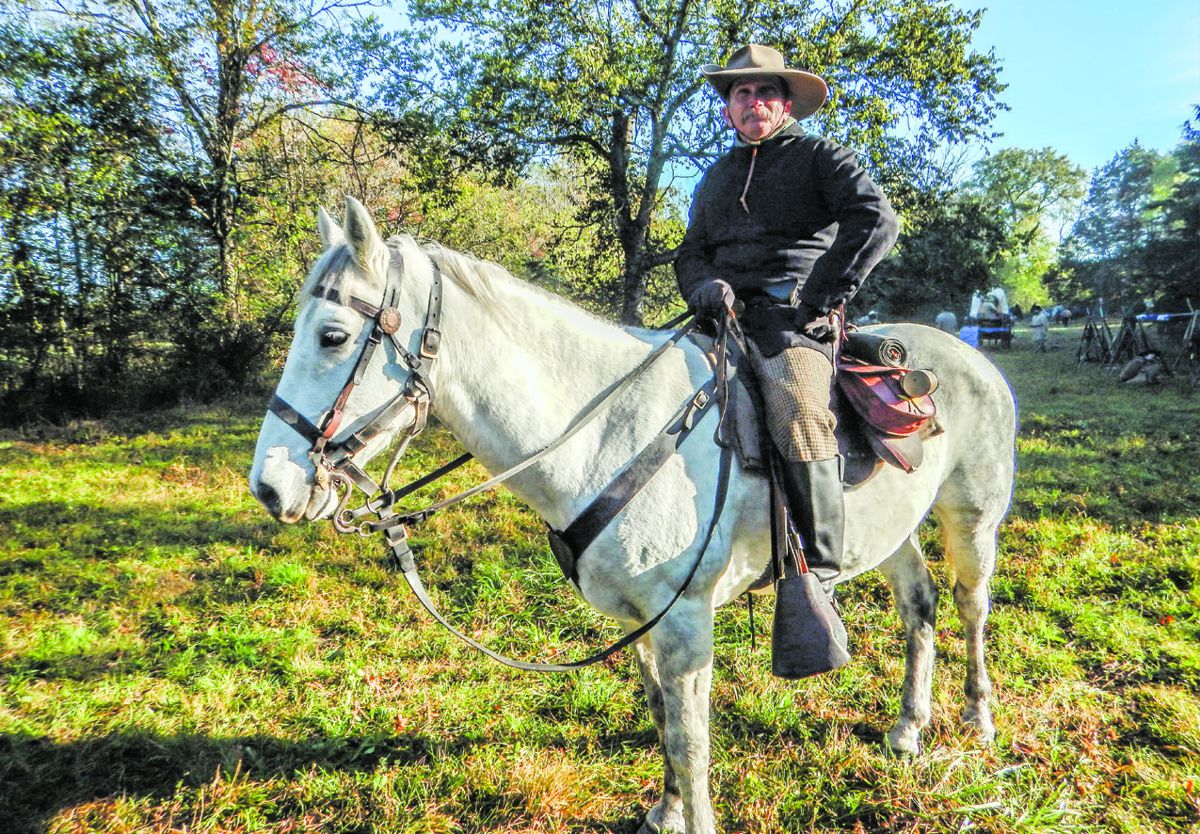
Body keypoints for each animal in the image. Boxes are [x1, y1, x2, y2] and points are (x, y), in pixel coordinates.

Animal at [250, 196, 1016, 834]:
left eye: (332, 336)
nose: (271, 488)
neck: (611, 429)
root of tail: (966, 354)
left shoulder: (685, 620)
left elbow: (691, 737)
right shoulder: (640, 618)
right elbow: (660, 716)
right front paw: (667, 810)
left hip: (972, 521)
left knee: (970, 605)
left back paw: (977, 718)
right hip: (890, 534)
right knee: (919, 605)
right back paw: (909, 727)